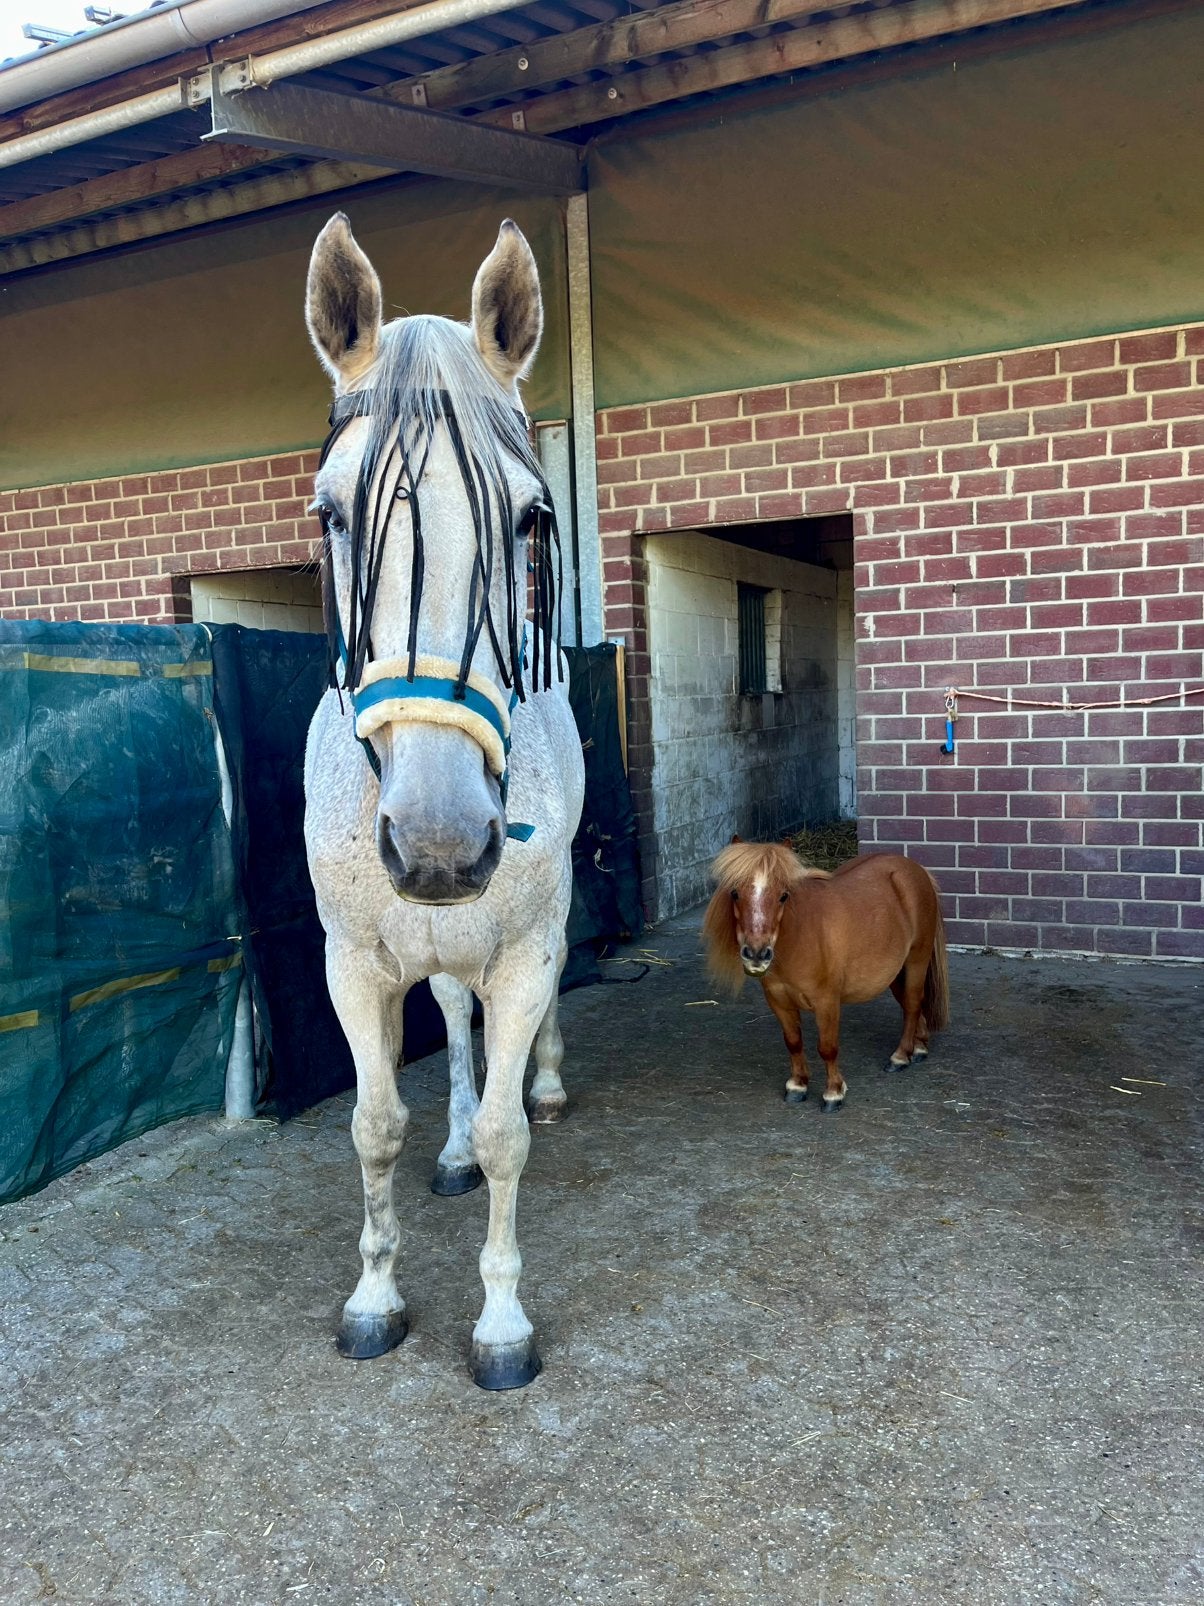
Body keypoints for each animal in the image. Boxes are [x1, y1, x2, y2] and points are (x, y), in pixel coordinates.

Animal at [703, 841, 949, 1111]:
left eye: (783, 896)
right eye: (735, 893)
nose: (757, 953)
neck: (799, 936)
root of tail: (917, 870)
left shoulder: (827, 1002)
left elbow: (827, 1048)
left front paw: (833, 1093)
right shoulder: (779, 1002)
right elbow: (793, 1042)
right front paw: (797, 1085)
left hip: (916, 961)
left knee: (913, 1003)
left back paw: (901, 1056)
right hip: (894, 972)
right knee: (910, 1006)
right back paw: (919, 1047)